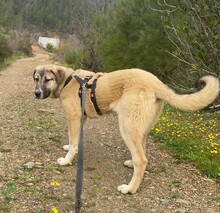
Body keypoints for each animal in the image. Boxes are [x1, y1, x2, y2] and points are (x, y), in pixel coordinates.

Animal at [32, 64, 218, 194]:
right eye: (36, 78)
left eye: (47, 79)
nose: (36, 93)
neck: (67, 81)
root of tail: (157, 83)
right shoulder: (81, 119)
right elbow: (74, 140)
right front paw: (69, 148)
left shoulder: (74, 118)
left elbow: (73, 141)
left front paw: (66, 160)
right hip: (140, 129)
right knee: (142, 153)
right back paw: (131, 165)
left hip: (127, 127)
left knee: (141, 160)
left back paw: (130, 189)